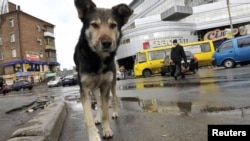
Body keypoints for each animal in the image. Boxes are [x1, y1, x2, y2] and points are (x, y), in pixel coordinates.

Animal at [73, 0, 133, 140]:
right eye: (94, 25)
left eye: (113, 25)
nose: (106, 43)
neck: (97, 58)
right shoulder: (84, 89)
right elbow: (88, 117)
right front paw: (94, 136)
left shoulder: (105, 85)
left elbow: (106, 112)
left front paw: (107, 130)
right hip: (94, 88)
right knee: (99, 102)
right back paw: (97, 118)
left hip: (113, 83)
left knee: (114, 98)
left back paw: (115, 113)